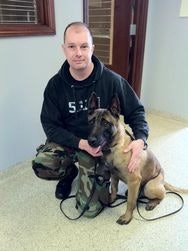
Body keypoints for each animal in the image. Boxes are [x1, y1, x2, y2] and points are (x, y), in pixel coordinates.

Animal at [88, 92, 188, 226]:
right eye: (91, 122)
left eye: (105, 123)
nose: (90, 141)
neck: (115, 147)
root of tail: (163, 180)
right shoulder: (114, 175)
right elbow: (114, 189)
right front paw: (111, 199)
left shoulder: (134, 180)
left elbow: (130, 202)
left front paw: (127, 217)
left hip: (149, 187)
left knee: (162, 196)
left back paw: (151, 203)